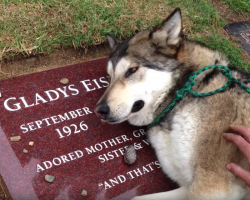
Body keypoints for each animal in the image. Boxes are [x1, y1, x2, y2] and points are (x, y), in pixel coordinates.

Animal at [94, 7, 250, 200]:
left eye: (132, 70)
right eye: (109, 77)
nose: (99, 110)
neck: (181, 96)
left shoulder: (210, 185)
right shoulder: (187, 186)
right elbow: (136, 197)